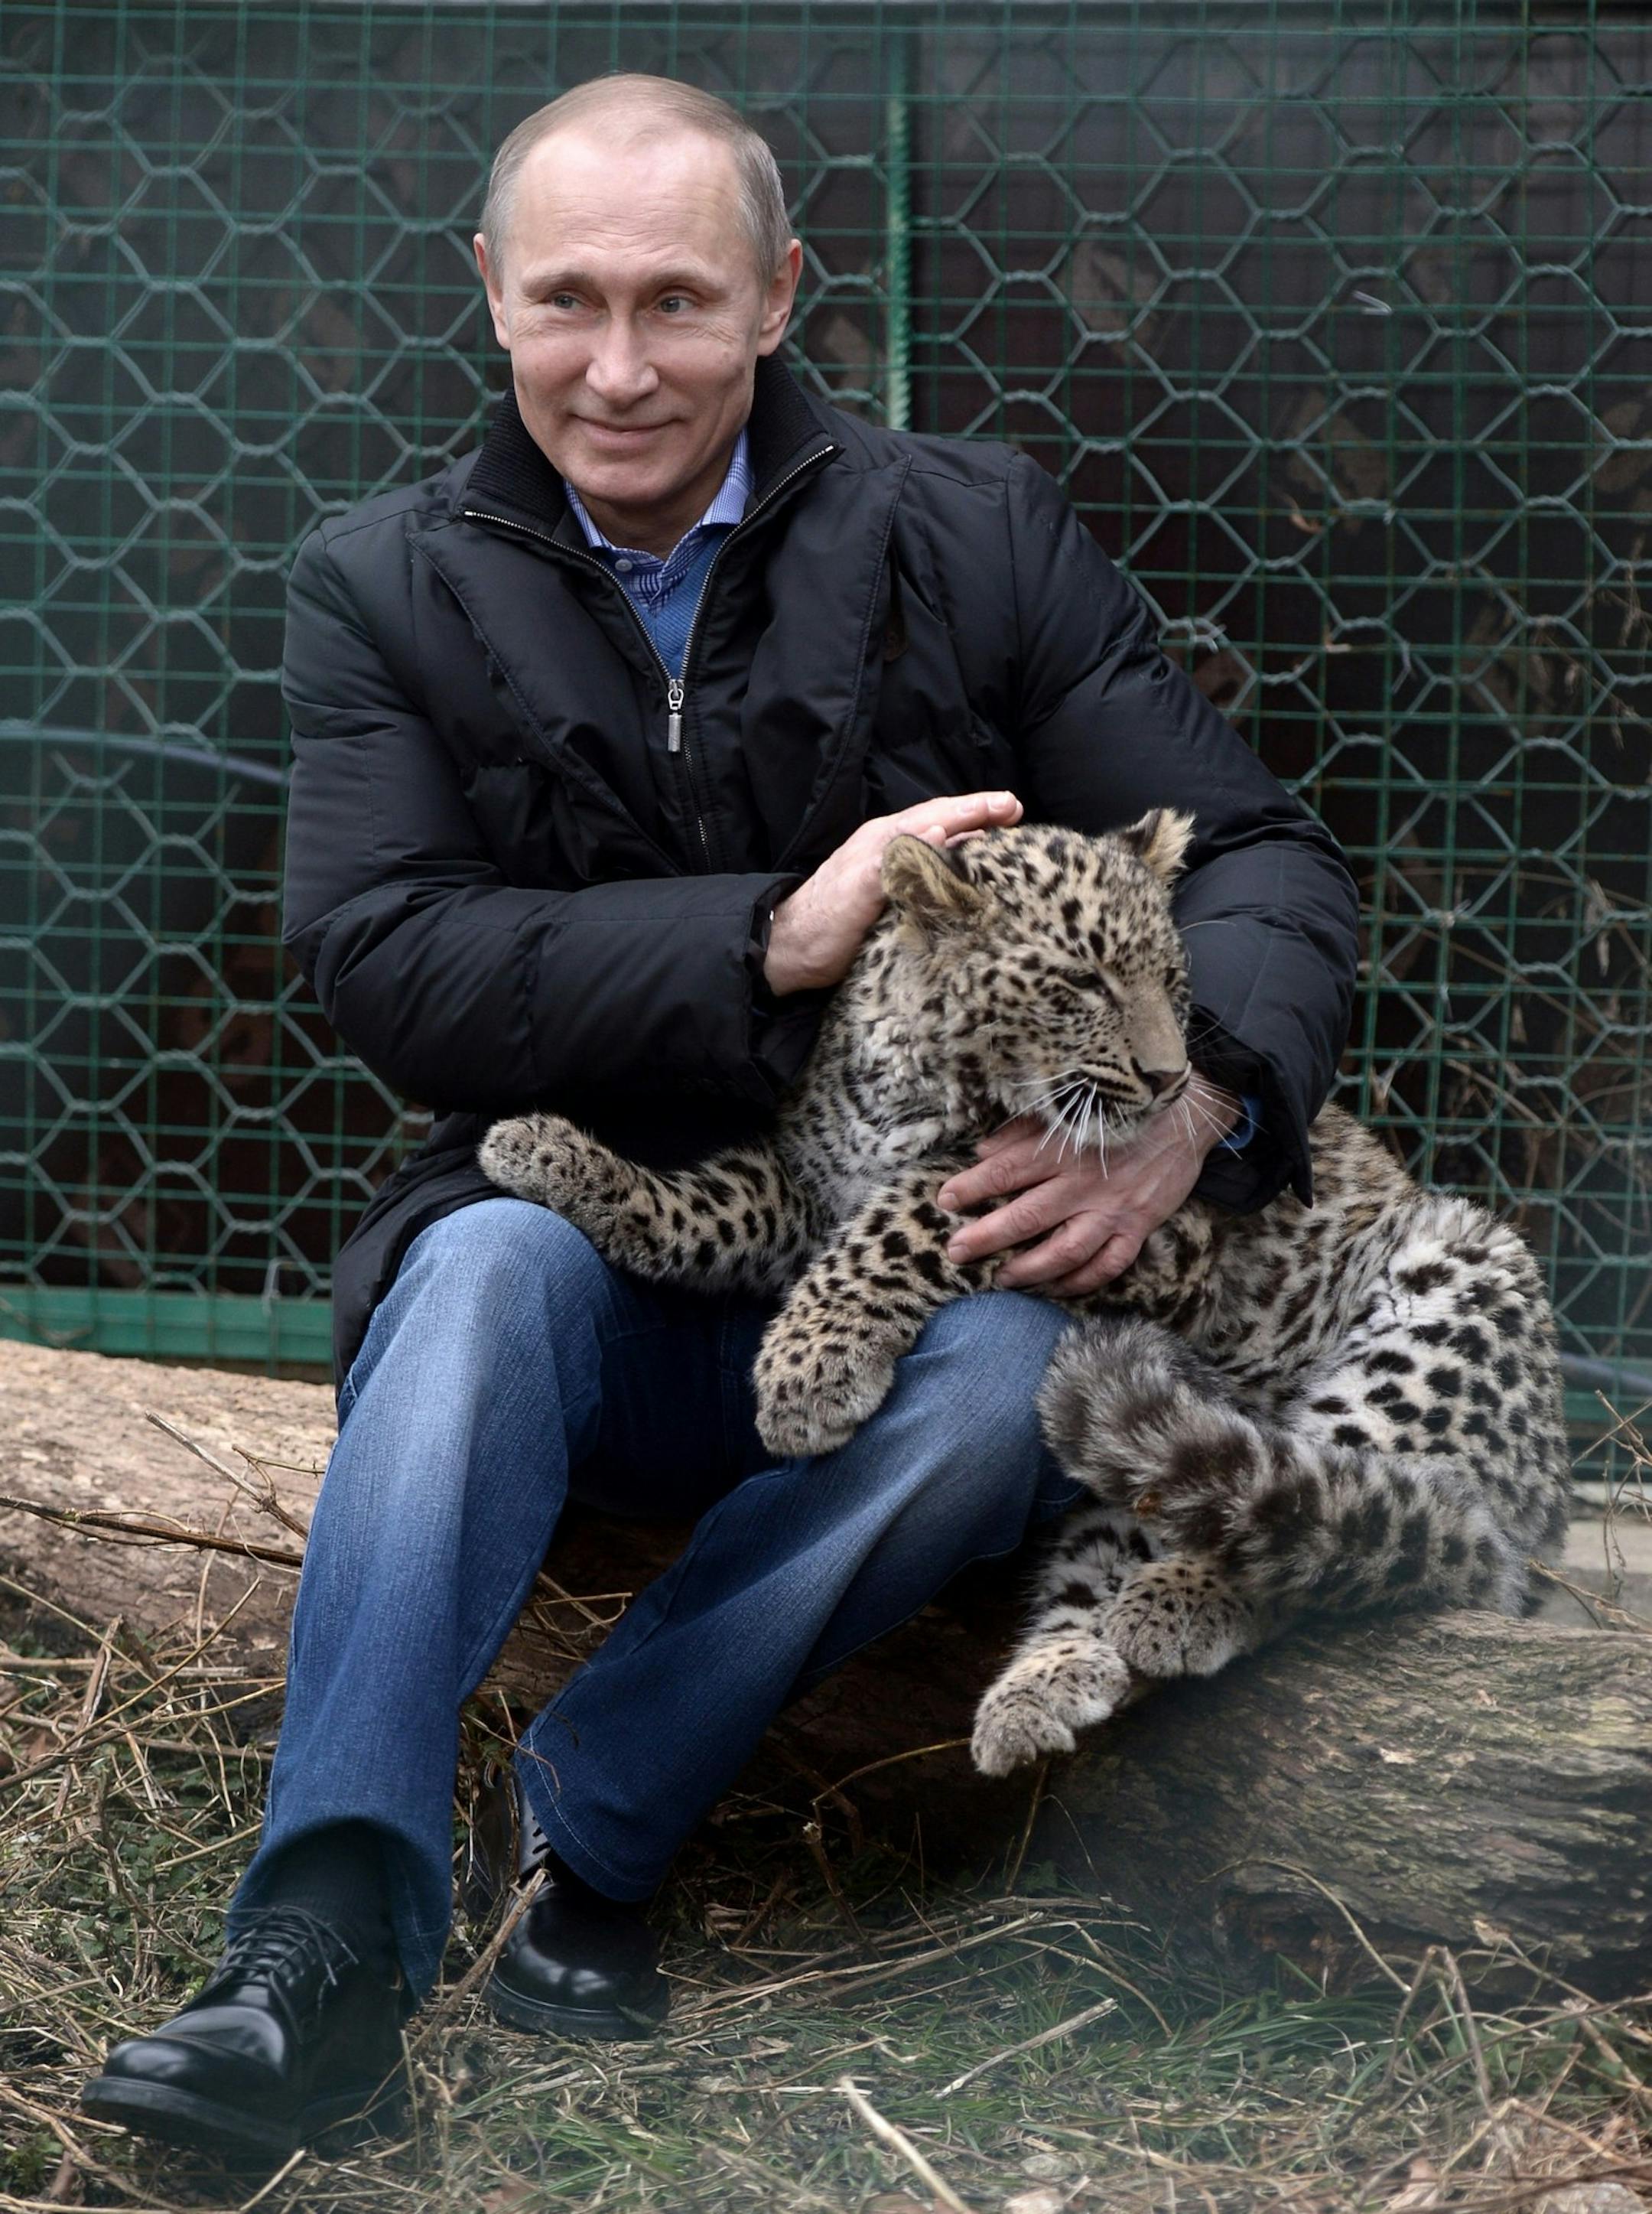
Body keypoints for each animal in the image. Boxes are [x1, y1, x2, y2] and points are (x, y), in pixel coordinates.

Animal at [477, 812, 1571, 1779]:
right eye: (1083, 983)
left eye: (1173, 982)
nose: (1175, 1083)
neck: (917, 1077)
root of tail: (1548, 1508)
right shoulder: (800, 1188)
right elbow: (707, 1203)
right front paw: (551, 1154)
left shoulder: (1131, 1220)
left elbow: (911, 1215)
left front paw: (806, 1372)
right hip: (1119, 1444)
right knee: (1164, 1529)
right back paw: (1045, 1687)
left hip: (1451, 1292)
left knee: (1339, 1528)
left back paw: (1179, 1601)